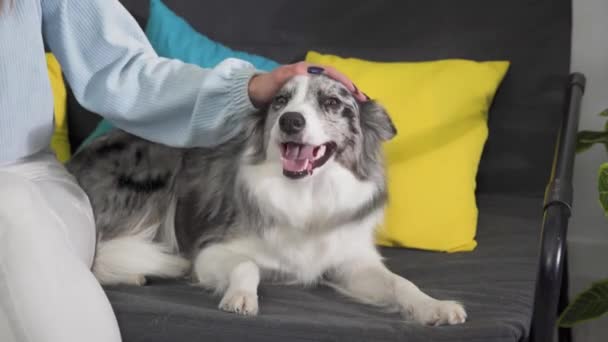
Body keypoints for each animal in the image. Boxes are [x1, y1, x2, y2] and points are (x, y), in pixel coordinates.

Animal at [66, 73, 466, 324]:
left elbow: (400, 283)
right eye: (281, 101)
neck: (307, 194)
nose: (290, 121)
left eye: (332, 102)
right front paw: (241, 297)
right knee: (97, 253)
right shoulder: (211, 251)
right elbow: (248, 265)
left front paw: (434, 306)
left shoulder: (350, 260)